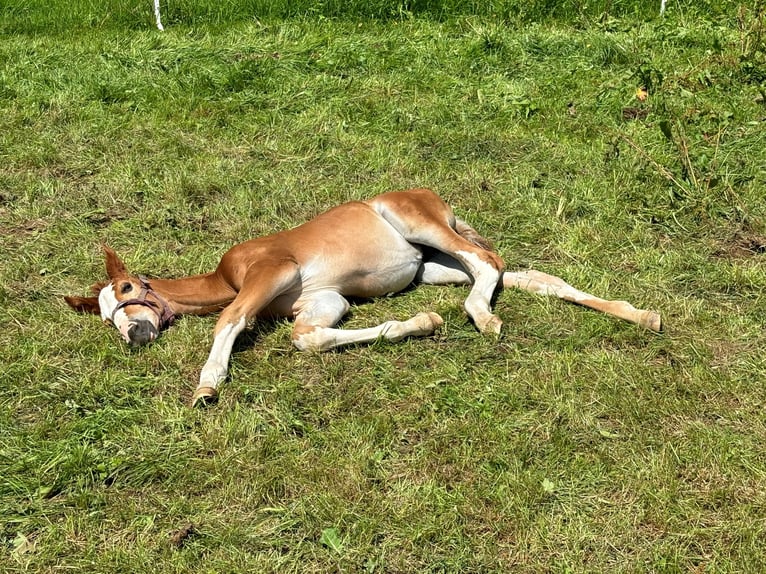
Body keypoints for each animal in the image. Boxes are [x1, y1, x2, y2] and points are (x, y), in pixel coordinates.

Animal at [64, 188, 660, 404]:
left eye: (128, 290)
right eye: (105, 315)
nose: (135, 335)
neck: (224, 275)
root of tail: (430, 194)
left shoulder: (271, 271)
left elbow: (229, 320)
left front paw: (207, 385)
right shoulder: (325, 302)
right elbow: (311, 338)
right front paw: (422, 324)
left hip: (422, 226)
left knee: (490, 264)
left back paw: (482, 318)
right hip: (431, 267)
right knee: (522, 274)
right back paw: (642, 315)